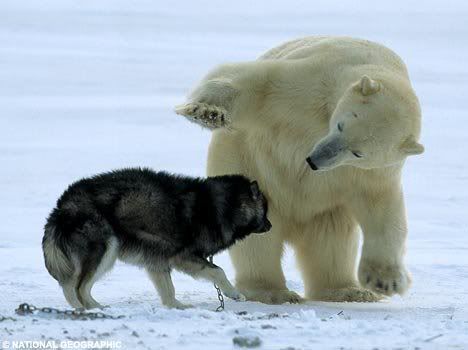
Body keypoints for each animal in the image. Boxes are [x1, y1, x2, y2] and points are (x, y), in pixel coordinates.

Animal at [43, 170, 272, 308]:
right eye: (266, 211)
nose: (270, 226)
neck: (221, 207)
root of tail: (62, 205)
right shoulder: (183, 256)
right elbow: (218, 271)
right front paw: (234, 294)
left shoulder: (158, 259)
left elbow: (168, 290)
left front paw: (176, 307)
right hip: (106, 249)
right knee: (77, 287)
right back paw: (92, 310)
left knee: (72, 286)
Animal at [176, 37, 424, 302]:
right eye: (340, 125)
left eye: (358, 153)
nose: (314, 161)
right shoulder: (311, 80)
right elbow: (254, 81)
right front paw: (207, 112)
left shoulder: (374, 171)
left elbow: (382, 209)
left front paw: (384, 281)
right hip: (248, 167)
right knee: (257, 237)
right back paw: (273, 292)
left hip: (326, 209)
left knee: (332, 241)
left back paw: (347, 291)